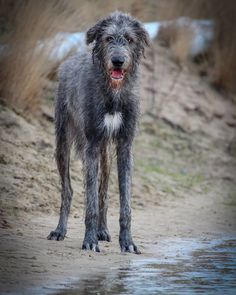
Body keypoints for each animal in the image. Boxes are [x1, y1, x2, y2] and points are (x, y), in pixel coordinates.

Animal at [46, 10, 148, 253]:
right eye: (108, 38)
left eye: (129, 39)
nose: (118, 61)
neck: (113, 93)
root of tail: (69, 59)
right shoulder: (90, 146)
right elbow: (89, 201)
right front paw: (89, 240)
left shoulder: (125, 146)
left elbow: (124, 203)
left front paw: (127, 242)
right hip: (63, 143)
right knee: (68, 190)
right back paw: (60, 230)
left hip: (106, 154)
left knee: (103, 190)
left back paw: (103, 230)